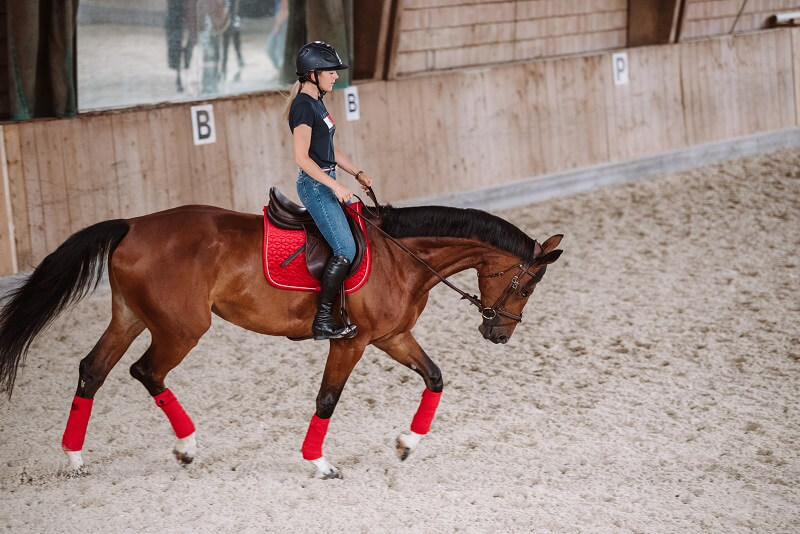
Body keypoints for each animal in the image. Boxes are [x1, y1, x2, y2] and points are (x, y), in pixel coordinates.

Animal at [0, 201, 564, 482]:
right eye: (528, 285)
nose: (499, 333)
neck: (402, 256)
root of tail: (134, 225)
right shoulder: (351, 342)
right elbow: (328, 398)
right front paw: (319, 462)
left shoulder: (393, 337)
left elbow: (435, 378)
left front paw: (407, 443)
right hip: (182, 328)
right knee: (146, 372)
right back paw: (186, 446)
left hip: (131, 316)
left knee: (92, 371)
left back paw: (75, 459)